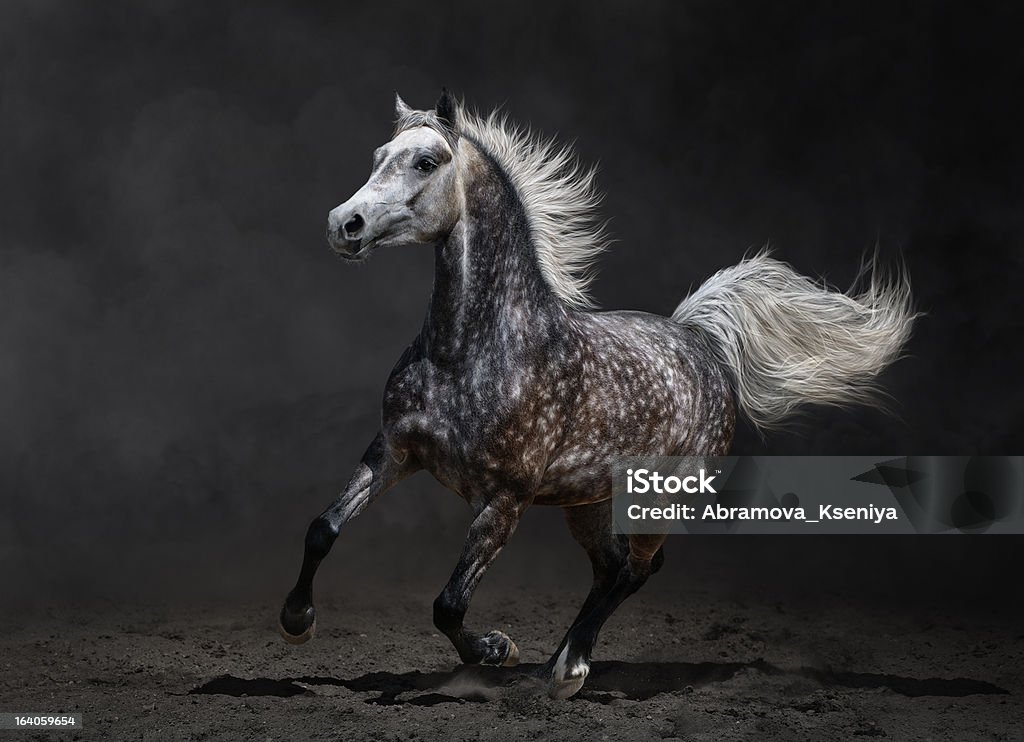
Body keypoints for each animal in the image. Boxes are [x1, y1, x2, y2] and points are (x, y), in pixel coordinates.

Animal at [276, 89, 917, 695]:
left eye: (426, 161)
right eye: (378, 156)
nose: (344, 224)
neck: (469, 352)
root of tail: (700, 340)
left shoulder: (505, 499)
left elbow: (448, 605)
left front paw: (497, 651)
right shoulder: (393, 452)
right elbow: (323, 528)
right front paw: (296, 621)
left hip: (659, 499)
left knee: (636, 570)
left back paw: (569, 668)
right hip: (587, 502)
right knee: (611, 570)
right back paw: (562, 661)